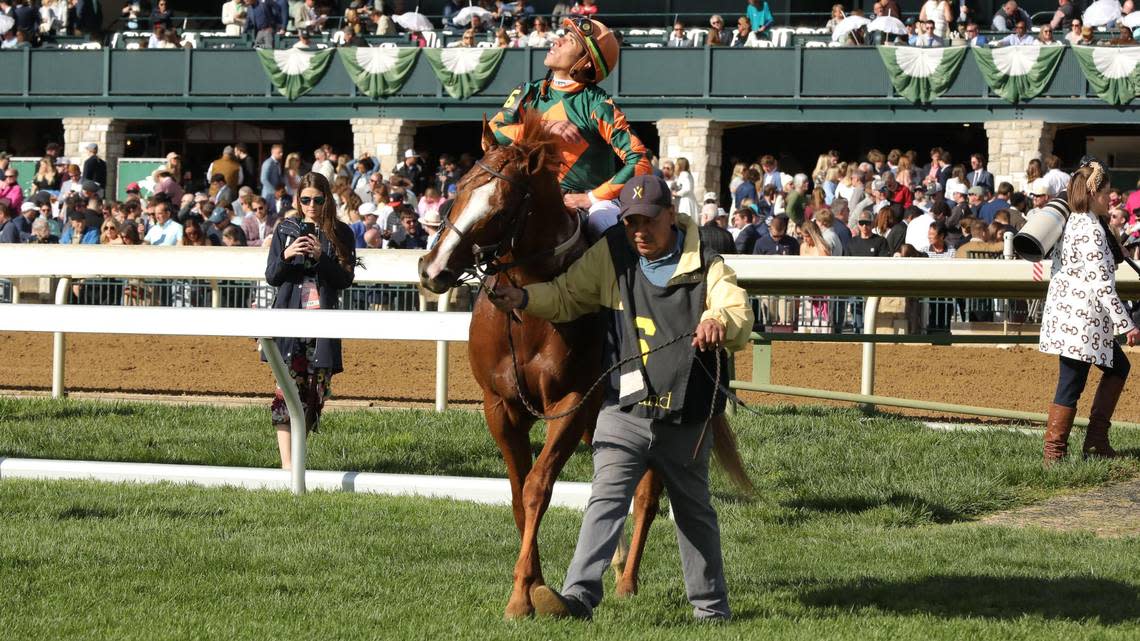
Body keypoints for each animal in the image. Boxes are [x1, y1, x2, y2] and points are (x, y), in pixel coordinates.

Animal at [419, 109, 747, 615]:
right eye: (457, 192)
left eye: (499, 210)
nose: (431, 269)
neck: (526, 317)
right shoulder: (500, 407)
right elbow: (518, 492)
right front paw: (535, 583)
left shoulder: (572, 404)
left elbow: (538, 487)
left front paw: (523, 594)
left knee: (647, 491)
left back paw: (627, 579)